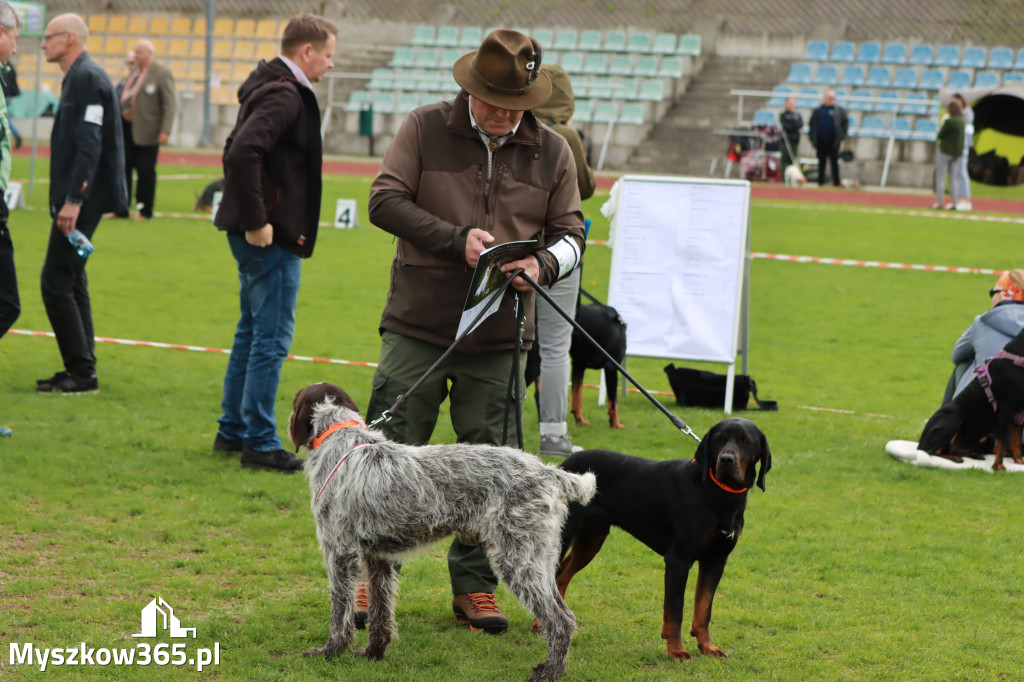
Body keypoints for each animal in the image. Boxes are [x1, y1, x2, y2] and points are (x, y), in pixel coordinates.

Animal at [288, 382, 598, 679]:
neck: (340, 436)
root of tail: (548, 472)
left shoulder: (339, 551)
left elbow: (340, 611)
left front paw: (330, 651)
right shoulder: (378, 559)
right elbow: (380, 612)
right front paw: (373, 653)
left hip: (518, 558)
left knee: (560, 621)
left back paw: (549, 672)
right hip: (540, 558)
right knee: (564, 612)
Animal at [524, 288, 626, 428]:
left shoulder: (579, 365)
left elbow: (577, 397)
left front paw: (580, 421)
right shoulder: (611, 367)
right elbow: (614, 402)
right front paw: (616, 425)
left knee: (538, 395)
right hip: (533, 364)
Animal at [552, 417, 770, 655]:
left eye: (745, 441)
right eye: (719, 439)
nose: (726, 459)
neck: (719, 493)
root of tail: (564, 463)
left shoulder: (716, 560)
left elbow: (704, 609)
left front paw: (707, 646)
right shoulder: (678, 560)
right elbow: (675, 612)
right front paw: (676, 651)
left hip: (591, 540)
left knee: (561, 577)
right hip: (562, 537)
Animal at [917, 327, 1024, 471]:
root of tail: (920, 442)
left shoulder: (1019, 414)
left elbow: (1015, 442)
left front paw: (1019, 461)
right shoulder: (1005, 411)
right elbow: (1003, 442)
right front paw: (998, 467)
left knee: (953, 449)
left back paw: (973, 455)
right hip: (953, 418)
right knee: (932, 451)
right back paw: (955, 458)